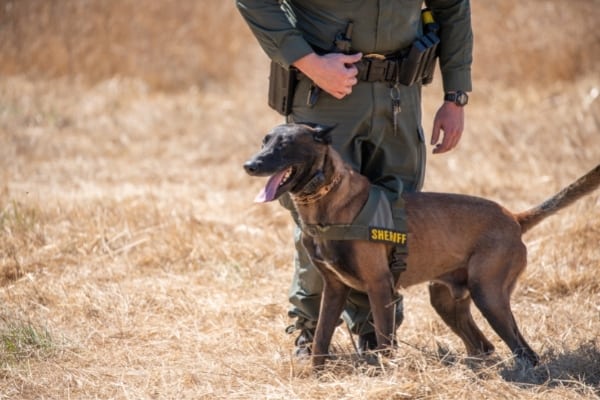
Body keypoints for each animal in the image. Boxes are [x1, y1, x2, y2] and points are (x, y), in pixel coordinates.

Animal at [244, 122, 600, 368]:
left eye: (286, 144)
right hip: (447, 301)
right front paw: (314, 375)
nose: (250, 165)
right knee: (483, 346)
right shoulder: (334, 289)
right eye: (264, 141)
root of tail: (513, 217)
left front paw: (384, 373)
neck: (327, 204)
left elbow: (385, 340)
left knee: (525, 351)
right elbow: (320, 339)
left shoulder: (379, 287)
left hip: (489, 295)